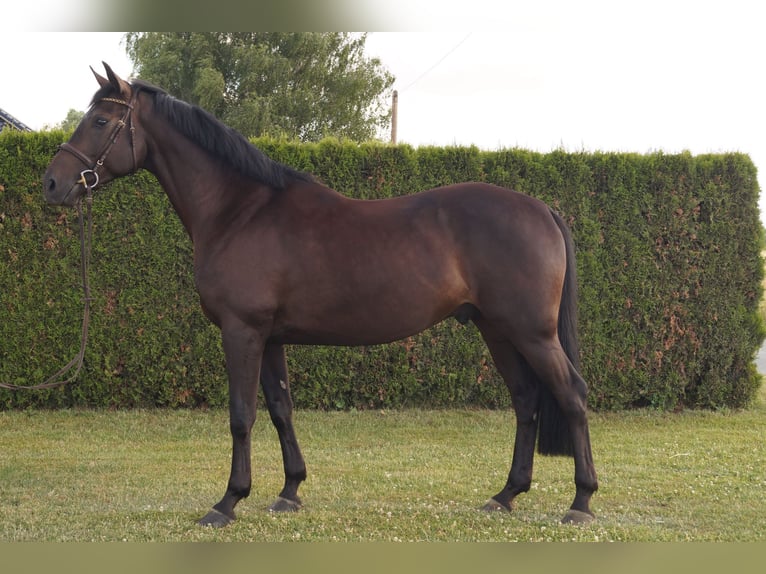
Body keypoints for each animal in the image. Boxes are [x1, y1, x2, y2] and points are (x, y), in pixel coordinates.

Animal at [43, 63, 598, 527]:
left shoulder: (242, 331)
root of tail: (542, 209)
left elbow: (241, 415)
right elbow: (280, 409)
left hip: (531, 332)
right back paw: (505, 495)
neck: (240, 210)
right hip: (495, 329)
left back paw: (581, 502)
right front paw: (289, 492)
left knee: (571, 395)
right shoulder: (269, 337)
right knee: (526, 399)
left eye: (99, 120)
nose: (52, 183)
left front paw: (227, 502)